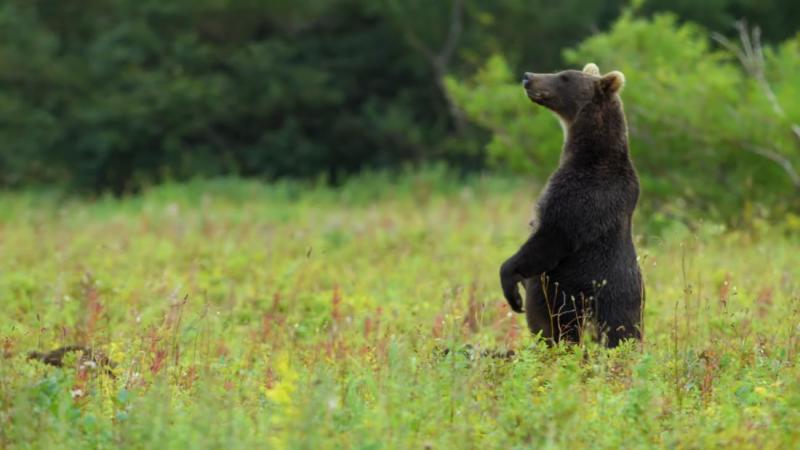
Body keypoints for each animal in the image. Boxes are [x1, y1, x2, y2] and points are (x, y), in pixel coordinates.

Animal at [500, 61, 644, 346]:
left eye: (564, 77)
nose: (528, 76)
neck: (588, 153)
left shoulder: (582, 196)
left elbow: (551, 237)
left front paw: (512, 288)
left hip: (602, 305)